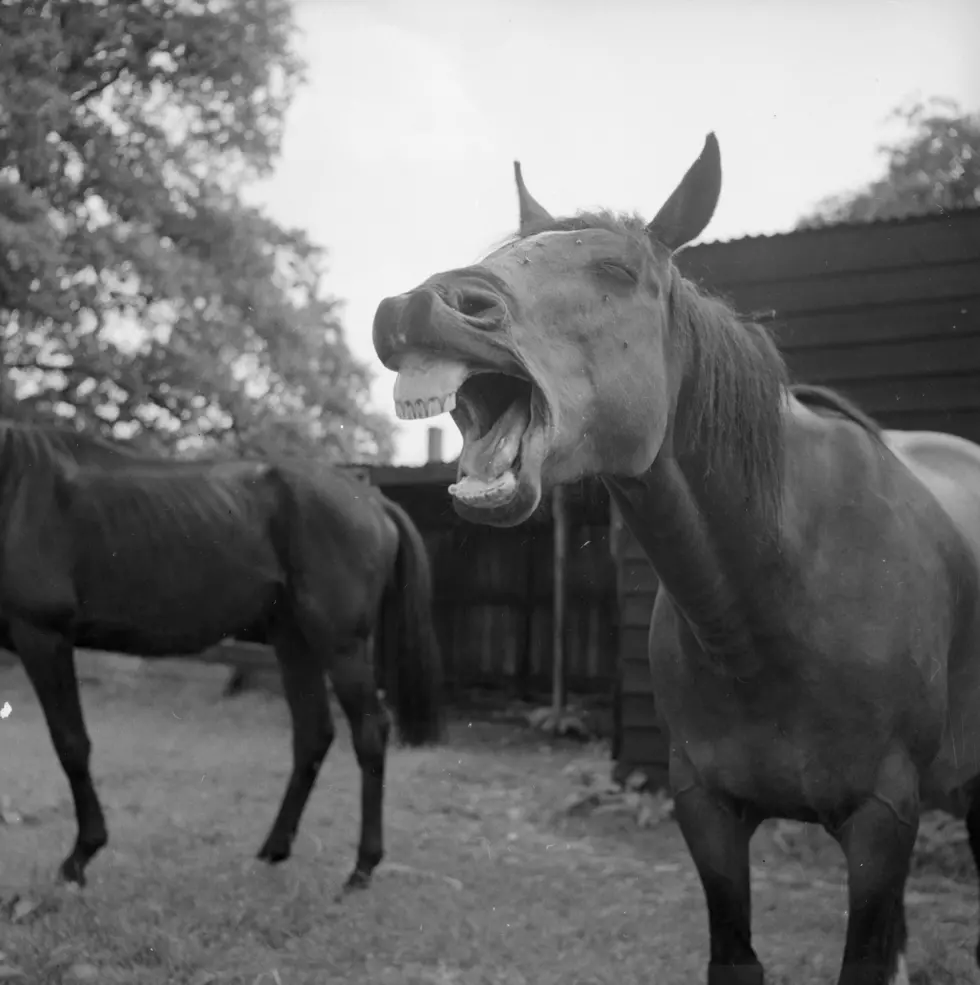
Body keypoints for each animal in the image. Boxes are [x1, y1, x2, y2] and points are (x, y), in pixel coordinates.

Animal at [0, 420, 443, 889]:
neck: (15, 486)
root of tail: (373, 501)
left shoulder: (42, 636)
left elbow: (70, 744)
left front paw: (79, 858)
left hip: (340, 645)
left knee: (369, 732)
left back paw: (362, 867)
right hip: (293, 639)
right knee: (313, 734)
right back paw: (274, 850)